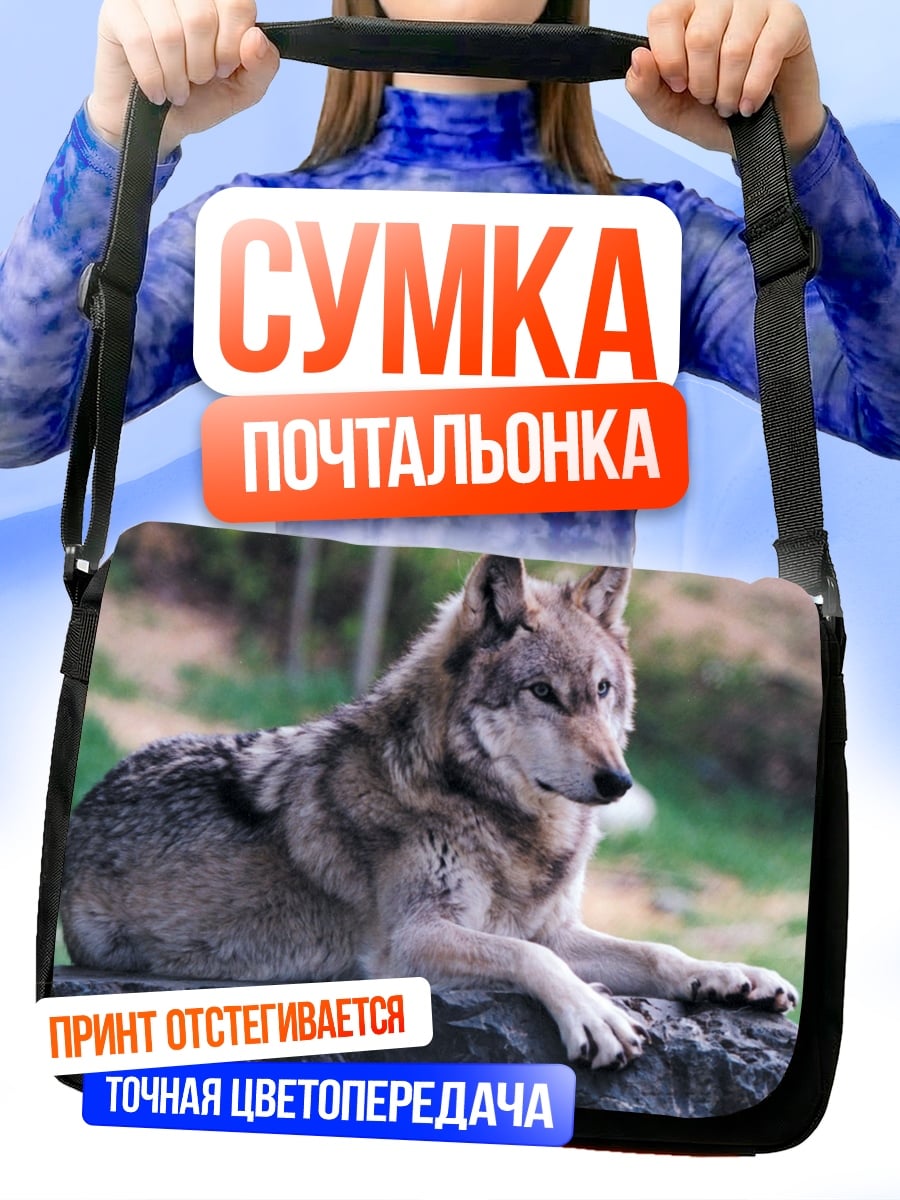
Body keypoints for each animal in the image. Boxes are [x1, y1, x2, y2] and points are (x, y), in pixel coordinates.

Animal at [61, 556, 797, 1070]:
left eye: (602, 691)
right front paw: (594, 1013)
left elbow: (656, 950)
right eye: (542, 693)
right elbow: (533, 960)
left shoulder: (554, 926)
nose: (618, 781)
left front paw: (730, 977)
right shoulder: (411, 945)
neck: (501, 820)